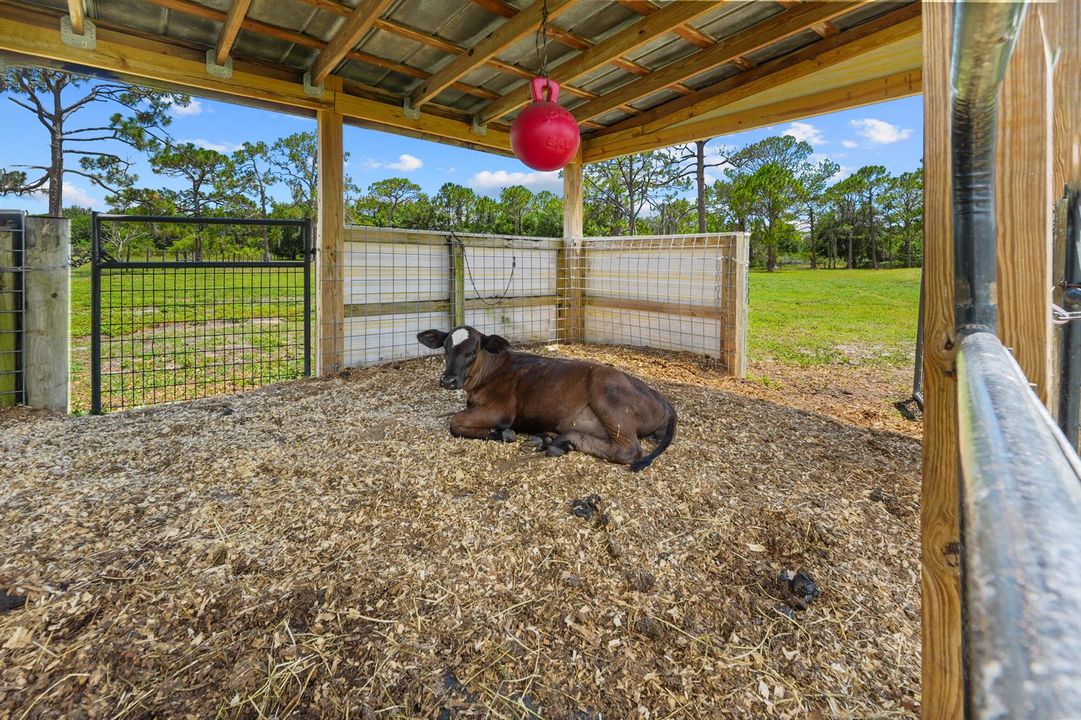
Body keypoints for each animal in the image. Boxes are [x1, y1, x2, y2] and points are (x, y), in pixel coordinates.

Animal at [417, 326, 677, 471]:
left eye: (472, 352)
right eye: (445, 349)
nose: (447, 380)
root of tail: (663, 399)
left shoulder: (501, 410)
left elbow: (455, 423)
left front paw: (502, 433)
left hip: (606, 393)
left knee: (629, 450)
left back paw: (560, 441)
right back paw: (547, 439)